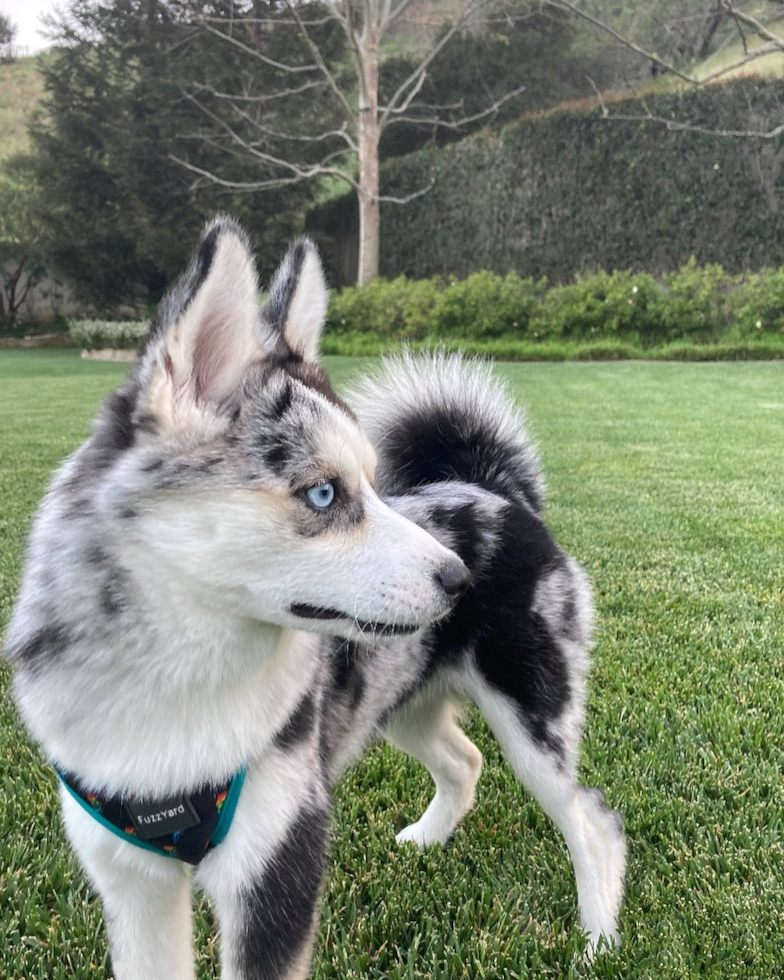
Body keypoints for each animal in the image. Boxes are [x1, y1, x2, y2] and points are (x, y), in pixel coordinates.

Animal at [4, 220, 624, 980]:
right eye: (325, 493)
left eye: (375, 483)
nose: (459, 580)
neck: (172, 683)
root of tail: (498, 492)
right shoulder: (131, 881)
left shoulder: (277, 865)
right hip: (400, 703)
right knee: (465, 761)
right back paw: (427, 839)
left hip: (533, 719)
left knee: (591, 817)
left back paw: (598, 942)